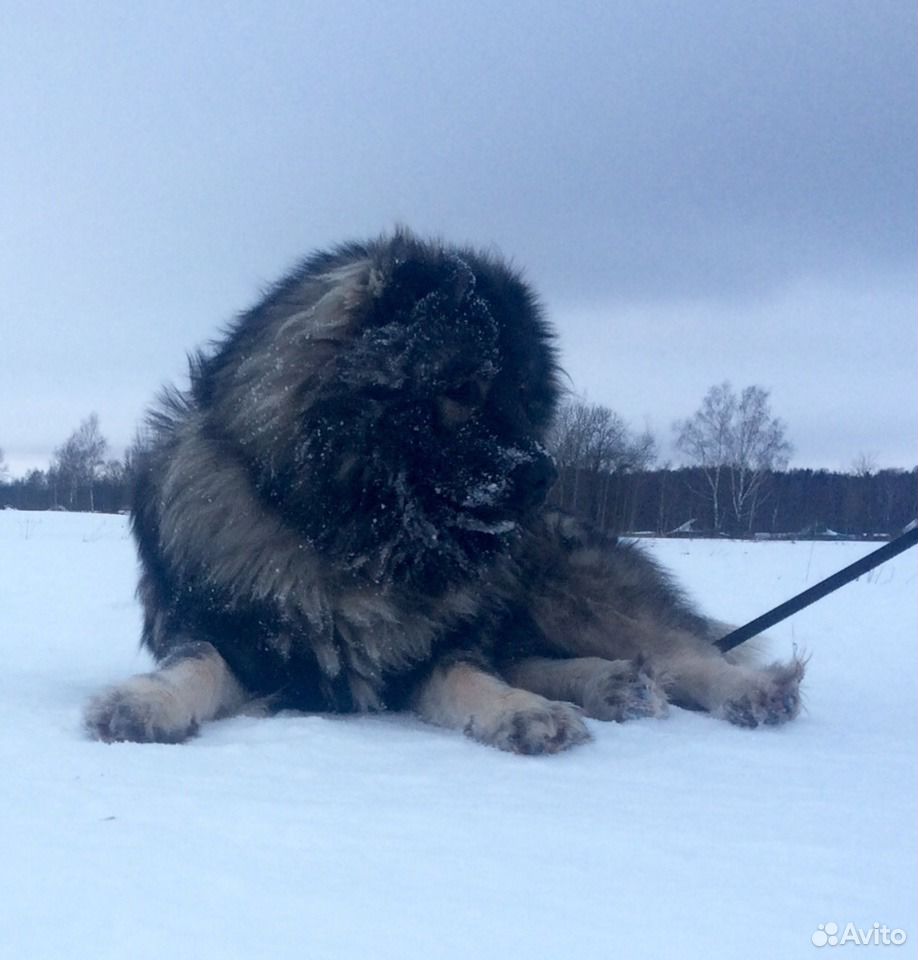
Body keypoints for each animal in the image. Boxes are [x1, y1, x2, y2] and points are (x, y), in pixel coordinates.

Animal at [84, 229, 804, 752]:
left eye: (526, 400)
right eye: (463, 389)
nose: (543, 474)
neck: (352, 540)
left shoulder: (433, 651)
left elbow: (472, 675)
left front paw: (520, 712)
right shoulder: (238, 637)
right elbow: (196, 663)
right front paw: (143, 702)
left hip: (566, 588)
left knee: (680, 651)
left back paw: (741, 692)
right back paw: (613, 683)